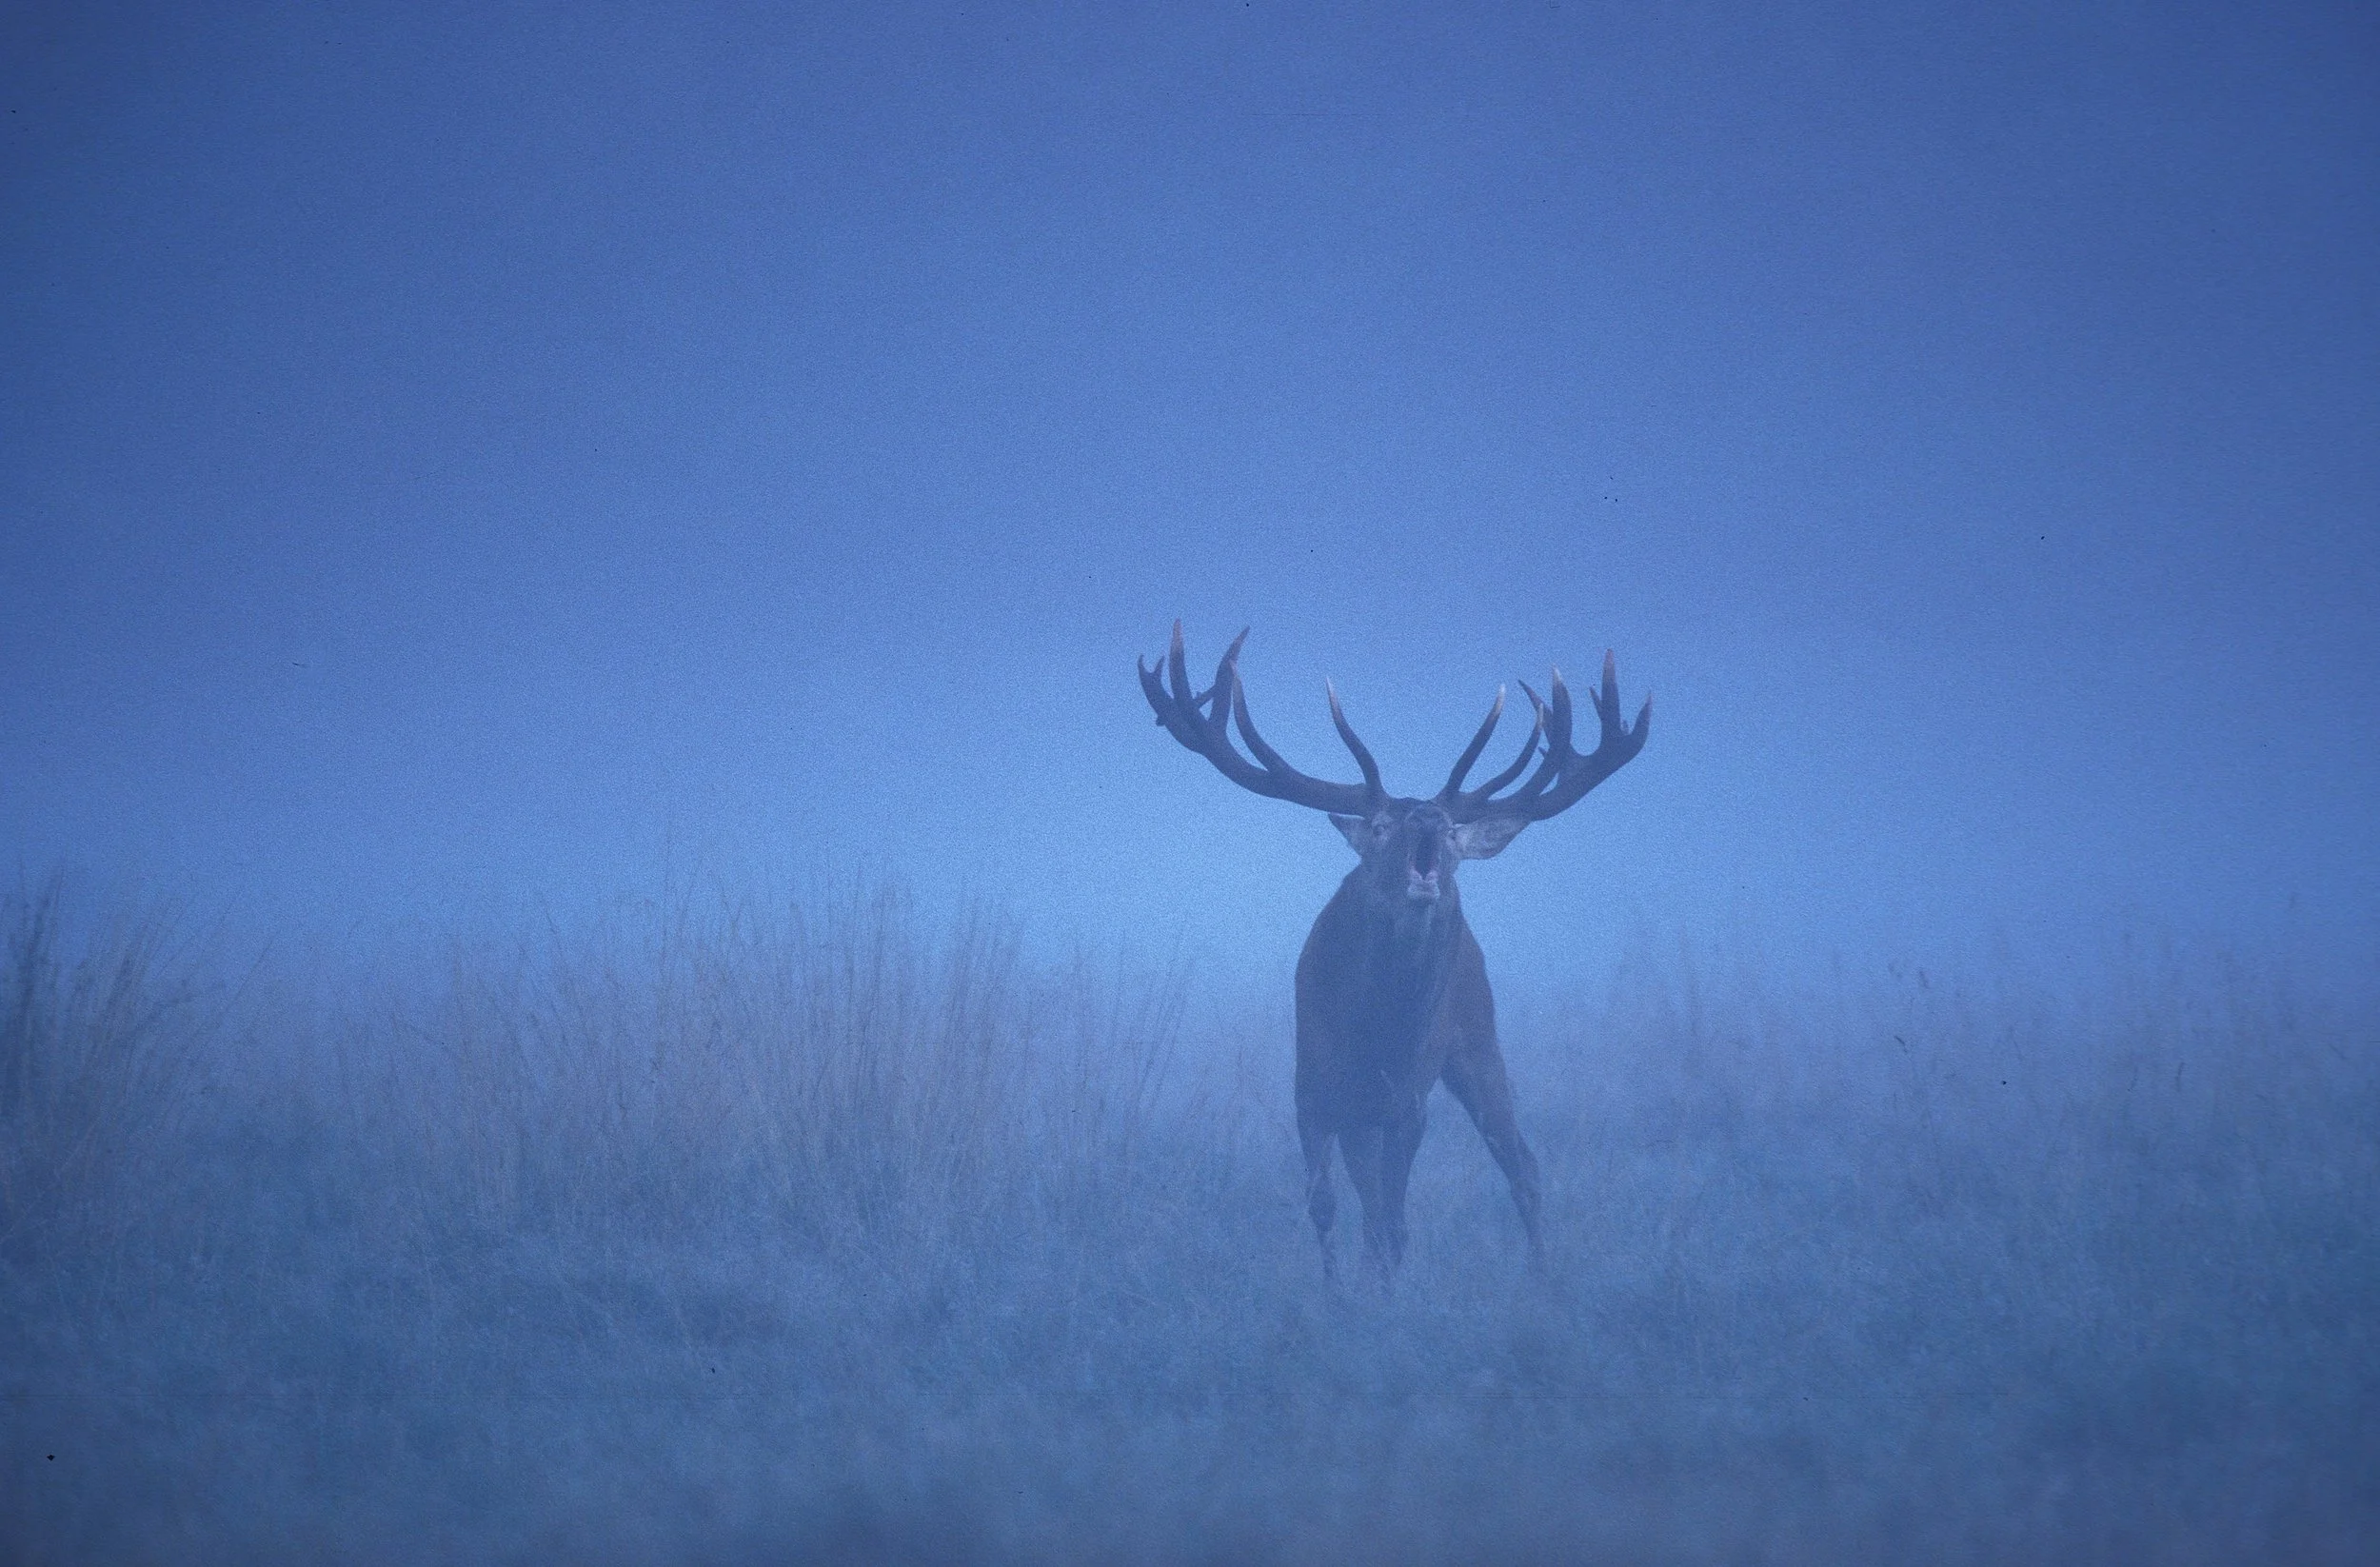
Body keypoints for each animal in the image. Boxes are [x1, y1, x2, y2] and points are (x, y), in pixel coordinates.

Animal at [1139, 623, 1649, 1278]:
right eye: (1381, 826)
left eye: (1453, 832)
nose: (1428, 817)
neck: (1373, 1031)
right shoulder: (1312, 1087)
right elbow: (1326, 1206)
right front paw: (1336, 1290)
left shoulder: (1406, 1100)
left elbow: (1391, 1223)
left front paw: (1382, 1284)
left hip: (1478, 1035)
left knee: (1521, 1165)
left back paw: (1543, 1275)